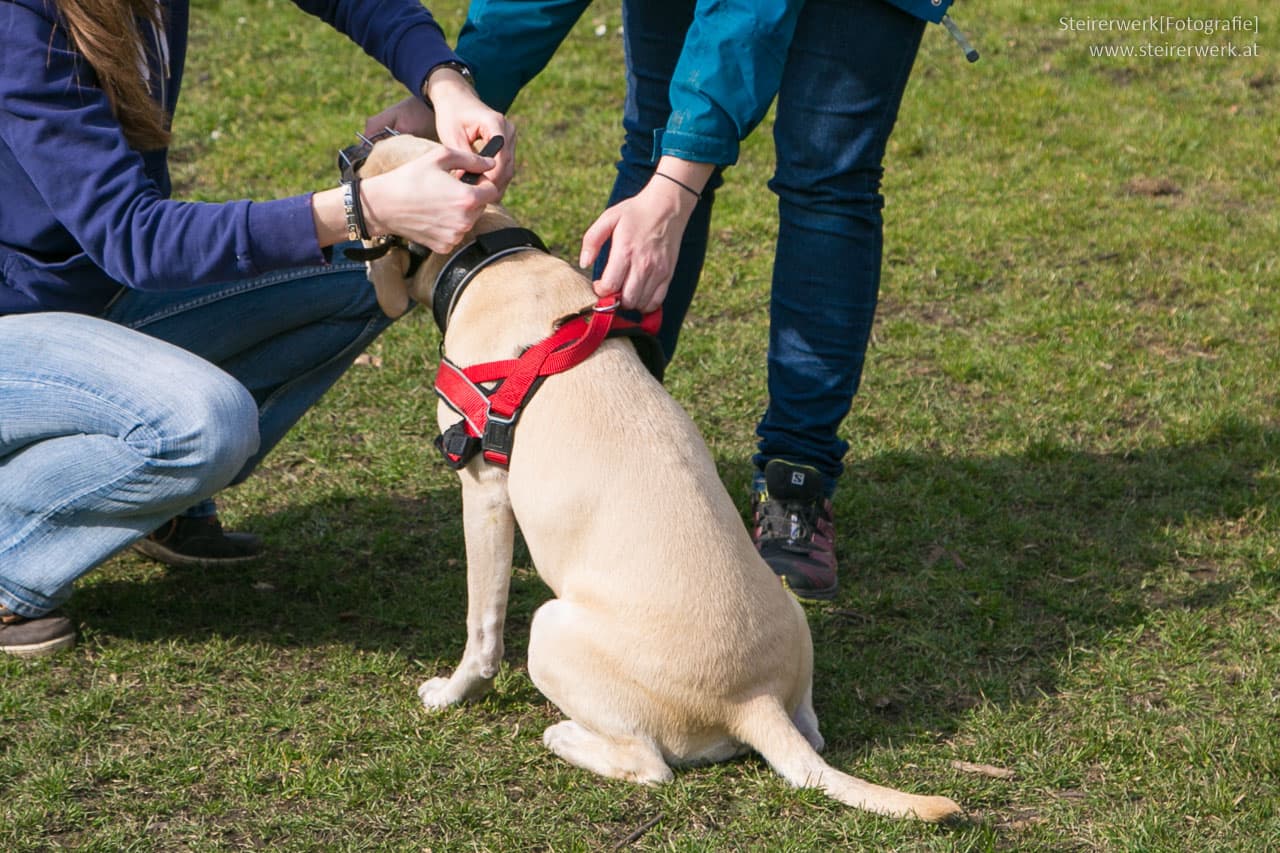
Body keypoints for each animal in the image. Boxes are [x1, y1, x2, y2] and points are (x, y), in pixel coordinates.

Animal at [358, 136, 962, 819]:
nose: (357, 145)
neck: (491, 259)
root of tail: (752, 702)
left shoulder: (483, 493)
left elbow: (481, 631)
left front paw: (452, 692)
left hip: (550, 629)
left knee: (650, 766)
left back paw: (566, 736)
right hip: (792, 635)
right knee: (811, 737)